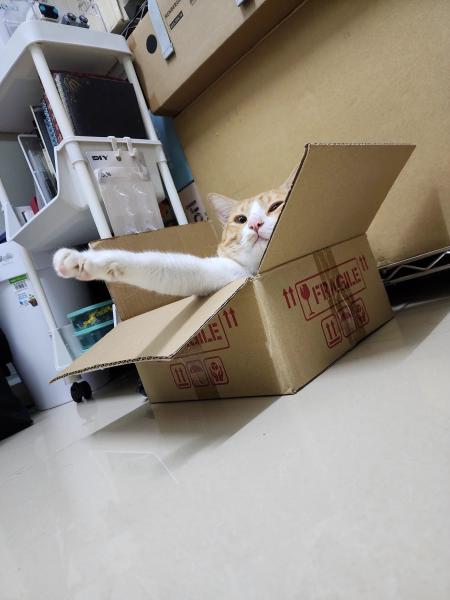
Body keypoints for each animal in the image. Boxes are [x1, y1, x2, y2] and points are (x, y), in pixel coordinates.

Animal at [53, 169, 296, 297]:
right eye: (241, 220)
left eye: (275, 206)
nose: (255, 224)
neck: (255, 270)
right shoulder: (219, 273)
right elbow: (162, 266)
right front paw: (83, 260)